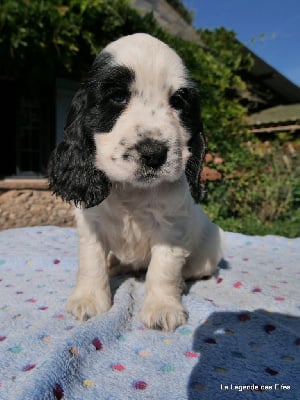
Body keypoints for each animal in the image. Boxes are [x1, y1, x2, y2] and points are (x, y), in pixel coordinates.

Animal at [48, 33, 223, 332]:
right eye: (118, 96)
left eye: (178, 102)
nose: (154, 153)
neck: (132, 190)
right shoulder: (91, 223)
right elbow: (91, 261)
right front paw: (88, 299)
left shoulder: (171, 227)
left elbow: (163, 268)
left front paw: (163, 307)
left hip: (210, 250)